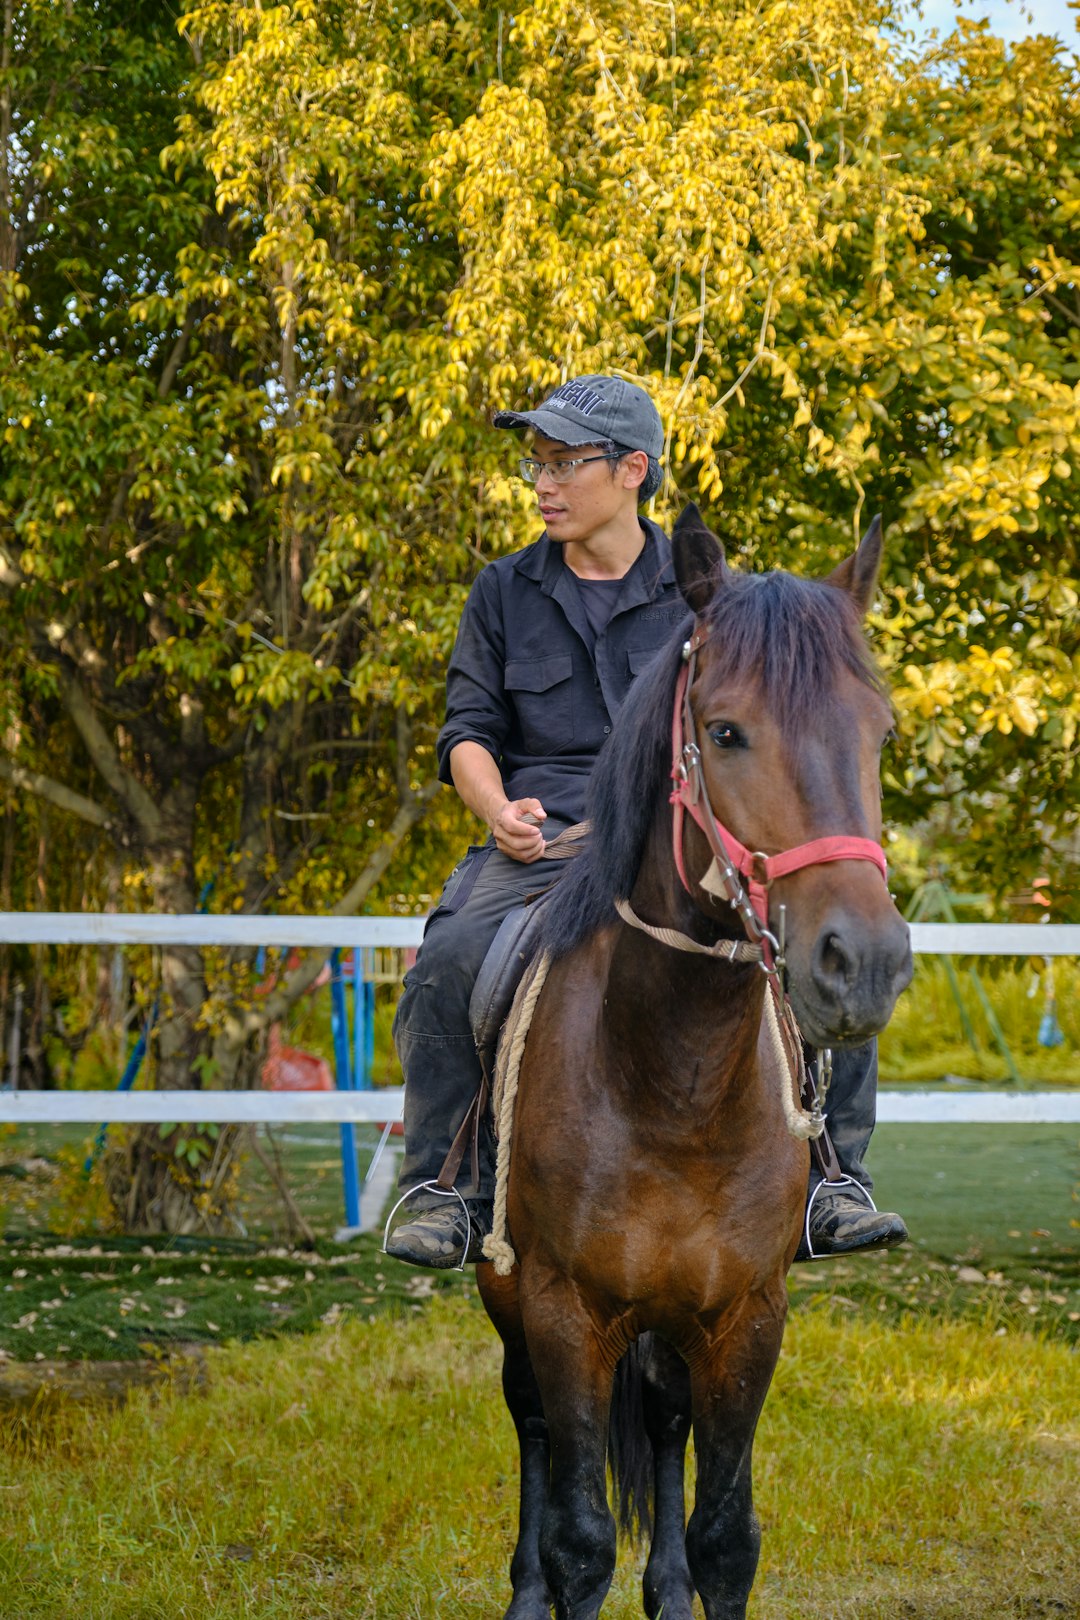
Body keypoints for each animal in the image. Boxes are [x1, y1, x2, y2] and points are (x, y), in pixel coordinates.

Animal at [479, 505, 913, 1620]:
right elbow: (580, 1541)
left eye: (880, 734)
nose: (864, 964)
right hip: (514, 1299)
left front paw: (685, 1580)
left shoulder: (746, 1317)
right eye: (724, 732)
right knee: (529, 1422)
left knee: (666, 1420)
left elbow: (726, 1538)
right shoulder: (564, 1311)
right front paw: (554, 1580)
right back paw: (523, 1590)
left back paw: (664, 1589)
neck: (673, 1084)